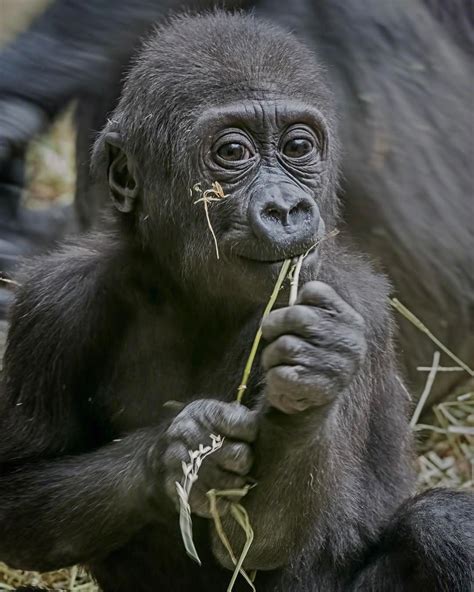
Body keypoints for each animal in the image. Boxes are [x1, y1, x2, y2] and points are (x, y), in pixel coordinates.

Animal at [0, 9, 474, 592]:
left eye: (298, 149)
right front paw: (180, 457)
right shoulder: (52, 303)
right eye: (233, 153)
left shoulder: (350, 300)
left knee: (445, 527)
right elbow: (17, 496)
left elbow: (262, 536)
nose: (286, 208)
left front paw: (314, 371)